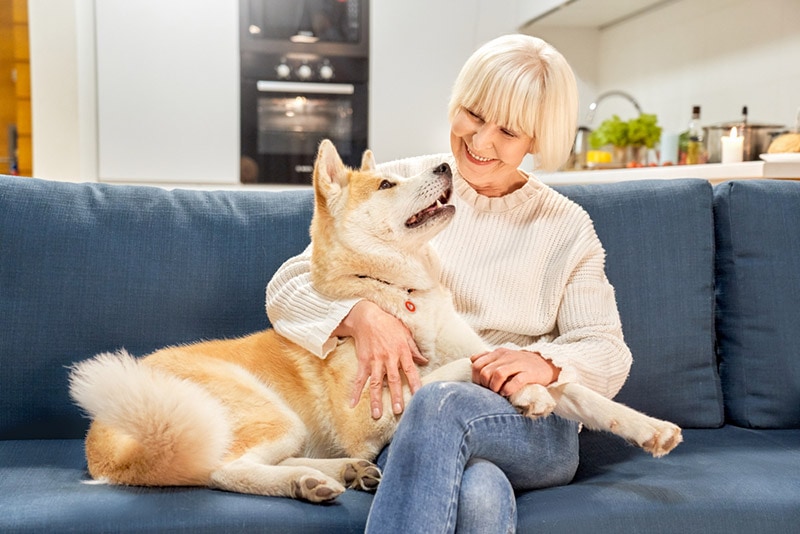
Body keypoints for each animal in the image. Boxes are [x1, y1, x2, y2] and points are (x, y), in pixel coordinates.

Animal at [70, 140, 680, 504]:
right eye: (387, 183)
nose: (446, 165)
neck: (399, 293)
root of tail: (103, 443)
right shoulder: (372, 411)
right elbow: (461, 368)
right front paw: (524, 392)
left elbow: (576, 387)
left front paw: (647, 428)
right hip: (262, 413)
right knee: (222, 470)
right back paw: (306, 481)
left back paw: (339, 474)